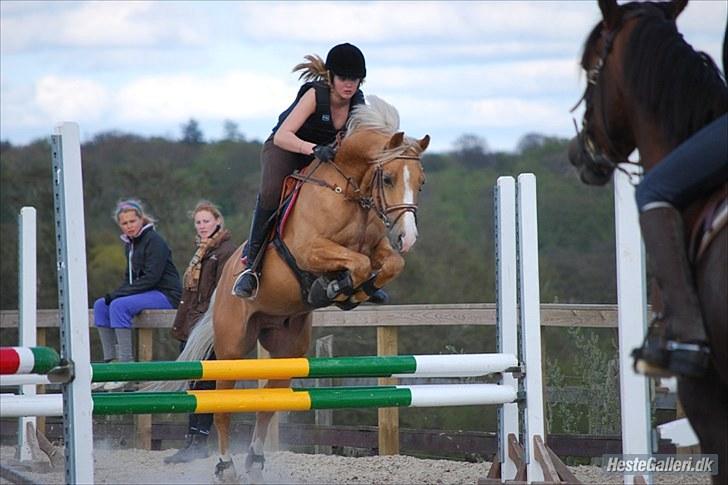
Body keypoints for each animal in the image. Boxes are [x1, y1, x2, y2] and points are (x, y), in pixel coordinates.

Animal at [171, 95, 430, 480]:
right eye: (387, 178)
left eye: (422, 182)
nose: (407, 237)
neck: (348, 192)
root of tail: (224, 279)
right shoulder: (310, 250)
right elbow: (358, 263)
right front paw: (336, 286)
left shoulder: (377, 247)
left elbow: (387, 264)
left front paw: (354, 291)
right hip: (232, 347)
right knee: (223, 405)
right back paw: (225, 465)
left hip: (287, 348)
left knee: (268, 401)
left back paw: (255, 462)